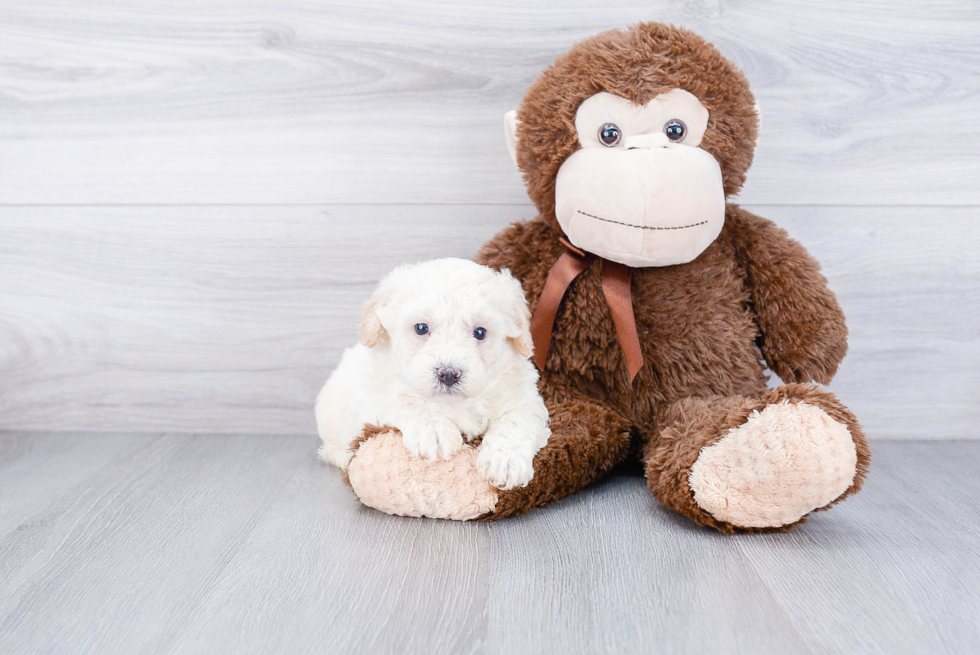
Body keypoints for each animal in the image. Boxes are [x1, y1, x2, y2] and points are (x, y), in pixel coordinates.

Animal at [316, 258, 552, 490]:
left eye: (480, 332)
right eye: (421, 328)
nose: (448, 374)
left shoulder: (524, 399)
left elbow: (516, 421)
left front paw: (505, 460)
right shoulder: (373, 394)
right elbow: (404, 401)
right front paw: (433, 430)